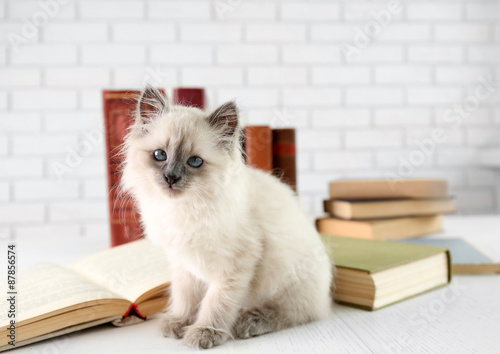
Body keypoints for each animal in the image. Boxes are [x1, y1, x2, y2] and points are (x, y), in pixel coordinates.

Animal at [120, 85, 332, 348]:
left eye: (195, 161)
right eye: (160, 155)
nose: (171, 178)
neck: (185, 208)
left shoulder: (234, 265)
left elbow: (216, 304)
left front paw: (203, 333)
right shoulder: (184, 265)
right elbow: (185, 298)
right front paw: (179, 323)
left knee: (297, 313)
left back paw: (249, 323)